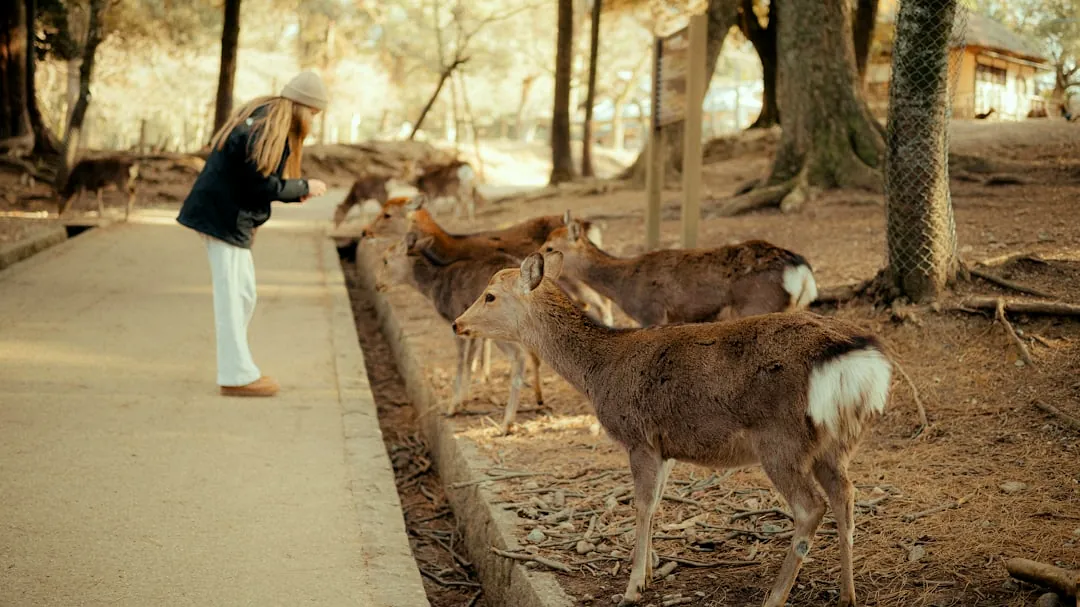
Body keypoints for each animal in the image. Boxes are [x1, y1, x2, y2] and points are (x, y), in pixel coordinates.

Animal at [375, 232, 543, 435]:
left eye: (385, 260)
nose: (378, 285)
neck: (432, 287)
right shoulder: (472, 330)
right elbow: (470, 359)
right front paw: (464, 400)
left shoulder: (455, 321)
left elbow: (461, 361)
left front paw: (452, 407)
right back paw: (538, 398)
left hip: (501, 328)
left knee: (519, 356)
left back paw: (506, 423)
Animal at [452, 252, 892, 607]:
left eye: (490, 295)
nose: (457, 323)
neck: (597, 372)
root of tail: (861, 366)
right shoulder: (665, 447)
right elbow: (659, 501)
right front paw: (648, 574)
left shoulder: (638, 436)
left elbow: (642, 504)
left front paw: (632, 588)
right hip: (834, 443)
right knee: (846, 496)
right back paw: (847, 594)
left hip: (781, 440)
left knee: (810, 506)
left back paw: (774, 597)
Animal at [542, 210, 817, 327]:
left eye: (549, 247)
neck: (624, 286)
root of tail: (802, 273)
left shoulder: (652, 314)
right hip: (797, 307)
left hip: (758, 305)